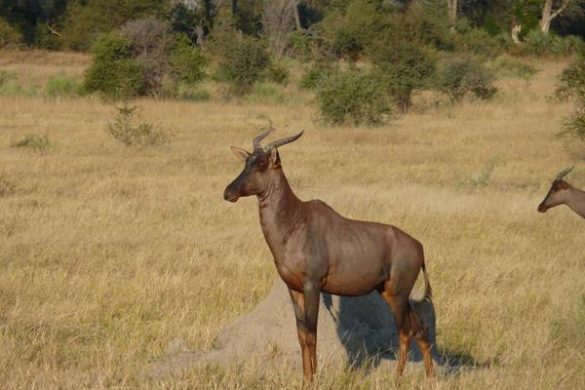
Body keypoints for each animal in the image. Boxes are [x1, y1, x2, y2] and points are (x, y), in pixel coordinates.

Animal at [224, 129, 434, 382]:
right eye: (246, 161)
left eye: (262, 164)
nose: (228, 193)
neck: (296, 219)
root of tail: (419, 247)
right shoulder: (294, 288)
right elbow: (301, 335)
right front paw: (306, 378)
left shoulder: (312, 285)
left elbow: (312, 334)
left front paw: (313, 379)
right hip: (387, 291)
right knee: (419, 329)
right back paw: (428, 377)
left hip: (398, 294)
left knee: (406, 331)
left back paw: (398, 378)